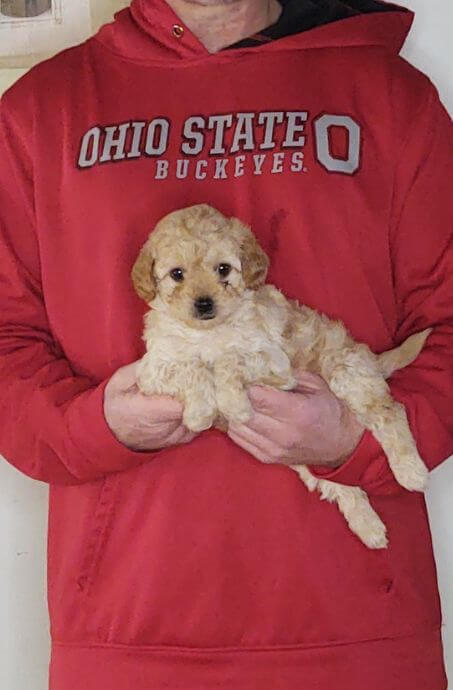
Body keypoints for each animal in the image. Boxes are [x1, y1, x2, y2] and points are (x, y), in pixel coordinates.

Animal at [132, 204, 430, 548]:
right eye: (177, 274)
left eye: (223, 269)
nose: (204, 304)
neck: (208, 332)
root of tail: (368, 356)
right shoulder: (153, 368)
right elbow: (191, 368)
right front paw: (200, 411)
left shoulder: (274, 363)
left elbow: (229, 360)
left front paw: (233, 404)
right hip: (309, 456)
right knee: (337, 484)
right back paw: (370, 528)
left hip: (348, 373)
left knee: (389, 412)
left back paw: (411, 472)